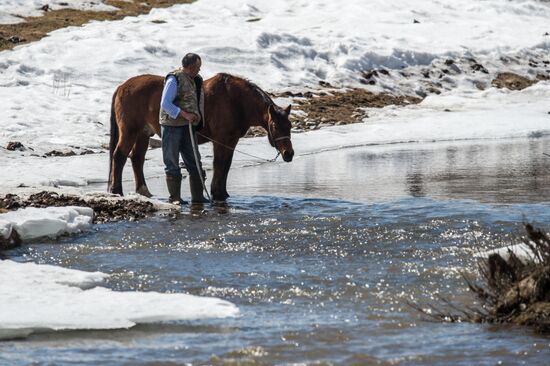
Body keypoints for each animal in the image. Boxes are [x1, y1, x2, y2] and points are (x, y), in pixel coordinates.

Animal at [109, 72, 296, 202]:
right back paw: (117, 191)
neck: (235, 101)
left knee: (137, 159)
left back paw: (143, 191)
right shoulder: (221, 140)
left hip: (143, 133)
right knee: (119, 156)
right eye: (275, 126)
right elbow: (219, 165)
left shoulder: (231, 141)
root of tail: (122, 87)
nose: (289, 154)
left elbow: (226, 165)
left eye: (289, 126)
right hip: (130, 132)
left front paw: (223, 193)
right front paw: (216, 193)